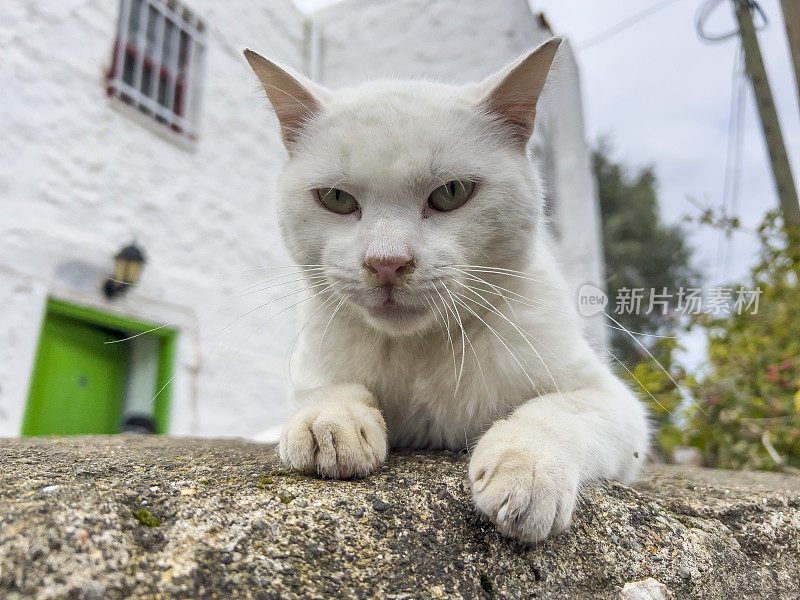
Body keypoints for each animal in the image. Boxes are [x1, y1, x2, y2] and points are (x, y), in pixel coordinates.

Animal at [244, 38, 648, 544]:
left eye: (451, 192)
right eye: (336, 198)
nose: (387, 263)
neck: (420, 352)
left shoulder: (611, 401)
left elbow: (554, 412)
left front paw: (527, 471)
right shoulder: (314, 359)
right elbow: (322, 388)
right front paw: (330, 422)